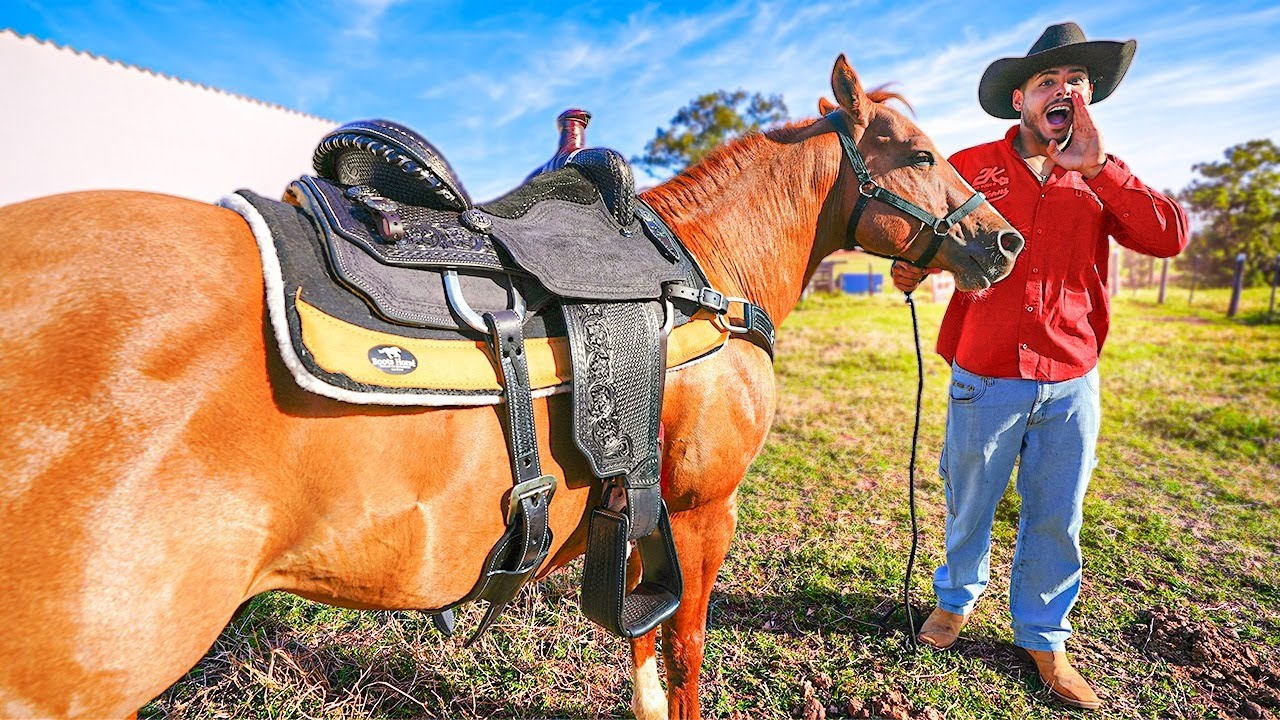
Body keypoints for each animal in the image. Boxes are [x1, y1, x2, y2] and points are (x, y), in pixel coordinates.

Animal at [0, 55, 1022, 719]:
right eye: (918, 153)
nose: (1004, 240)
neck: (707, 274)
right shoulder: (702, 510)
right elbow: (685, 651)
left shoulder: (642, 505)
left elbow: (642, 647)